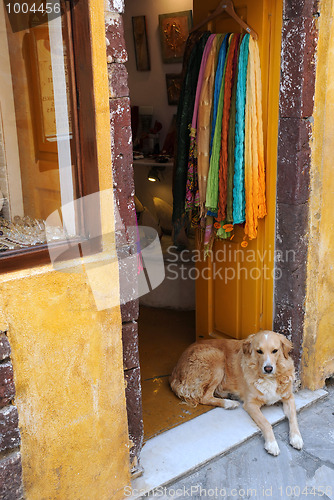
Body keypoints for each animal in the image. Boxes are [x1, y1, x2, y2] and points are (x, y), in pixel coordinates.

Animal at [171, 330, 304, 456]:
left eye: (275, 351)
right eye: (259, 351)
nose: (268, 368)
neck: (269, 377)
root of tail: (174, 373)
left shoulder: (289, 398)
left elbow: (293, 417)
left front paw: (296, 438)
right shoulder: (251, 404)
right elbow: (266, 423)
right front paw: (272, 444)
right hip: (217, 358)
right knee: (205, 397)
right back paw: (229, 403)